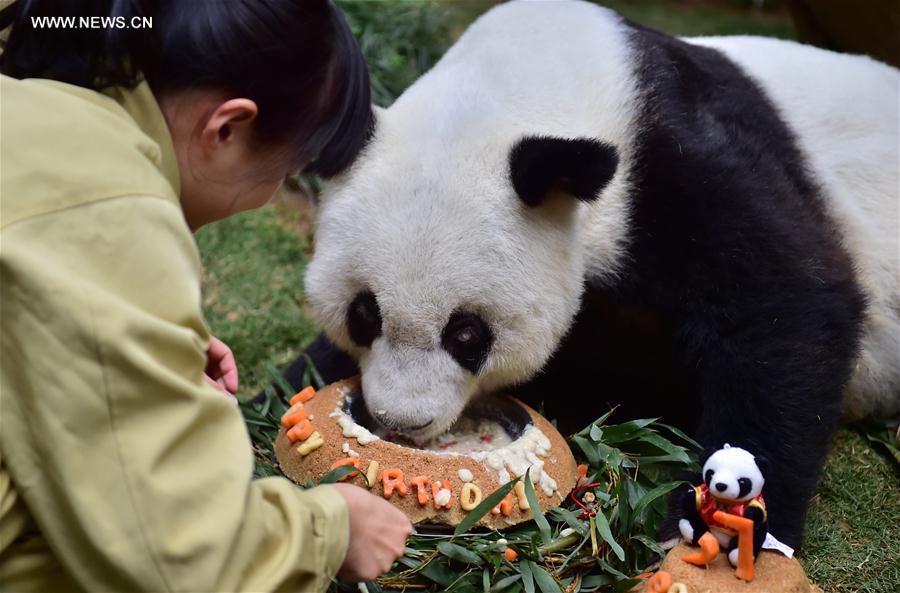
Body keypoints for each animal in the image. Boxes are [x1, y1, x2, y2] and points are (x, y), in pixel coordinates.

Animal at [278, 0, 896, 552]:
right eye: (364, 314)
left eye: (466, 334)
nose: (400, 423)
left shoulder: (676, 164)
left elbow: (787, 305)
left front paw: (720, 524)